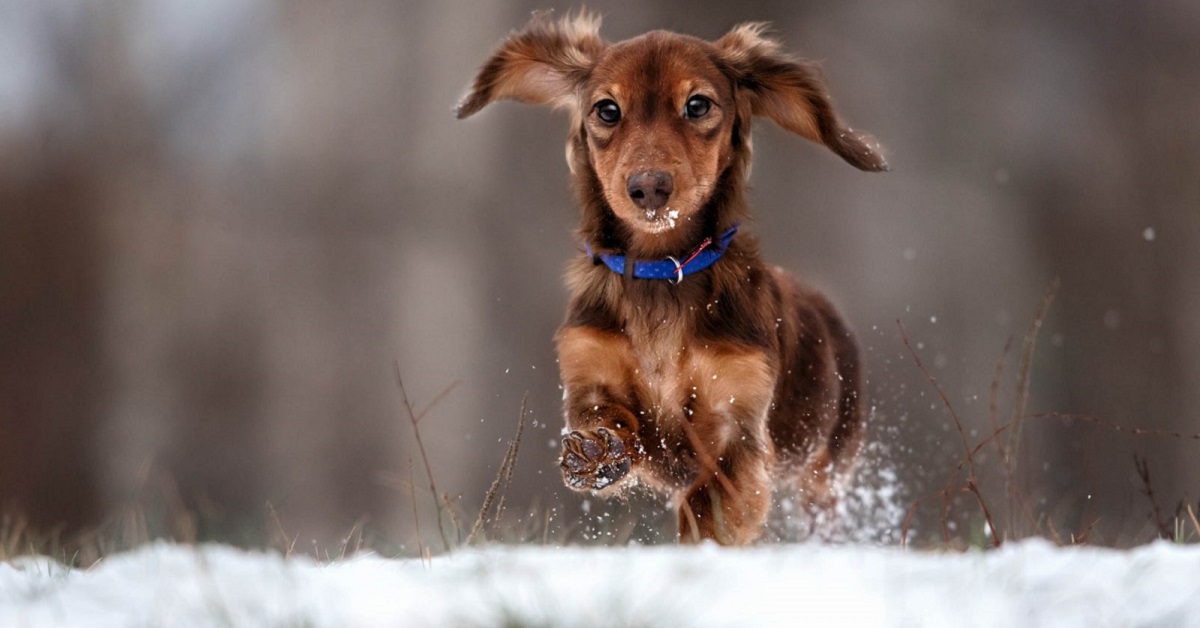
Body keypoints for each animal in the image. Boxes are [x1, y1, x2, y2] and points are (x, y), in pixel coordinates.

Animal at [453, 11, 888, 545]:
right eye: (607, 110)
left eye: (697, 104)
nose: (649, 188)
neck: (660, 277)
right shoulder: (590, 370)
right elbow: (608, 419)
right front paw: (596, 451)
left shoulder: (736, 419)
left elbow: (709, 503)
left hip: (827, 467)